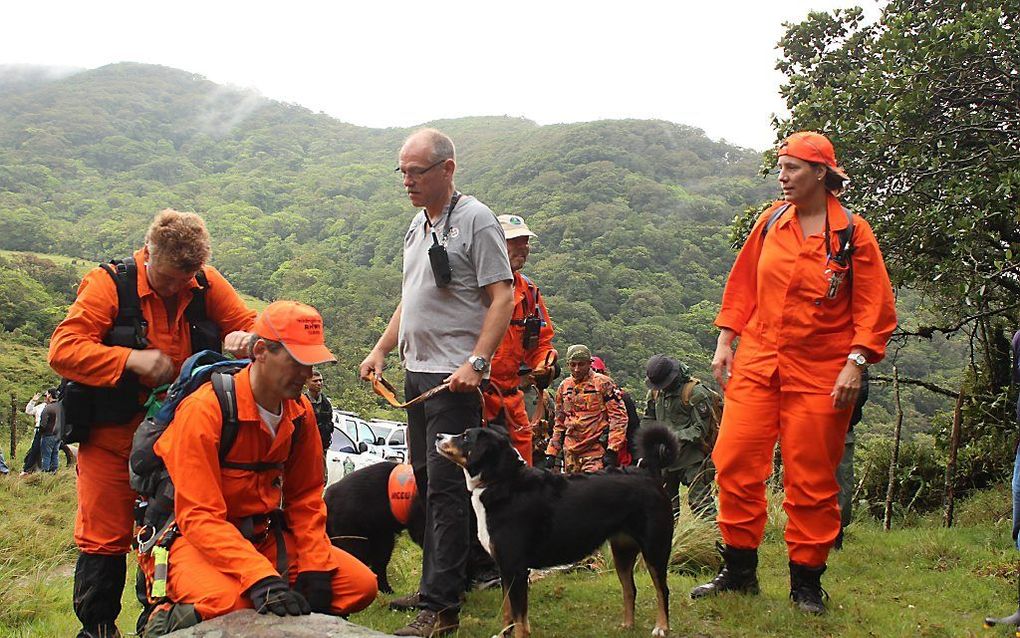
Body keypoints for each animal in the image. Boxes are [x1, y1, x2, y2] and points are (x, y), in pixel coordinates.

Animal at [432, 422, 677, 636]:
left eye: (465, 436)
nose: (438, 436)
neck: (502, 482)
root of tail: (648, 474)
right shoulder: (505, 568)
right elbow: (508, 611)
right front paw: (503, 634)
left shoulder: (516, 567)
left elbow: (519, 617)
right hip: (622, 550)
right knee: (629, 589)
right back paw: (627, 626)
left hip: (655, 548)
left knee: (662, 590)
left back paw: (661, 627)